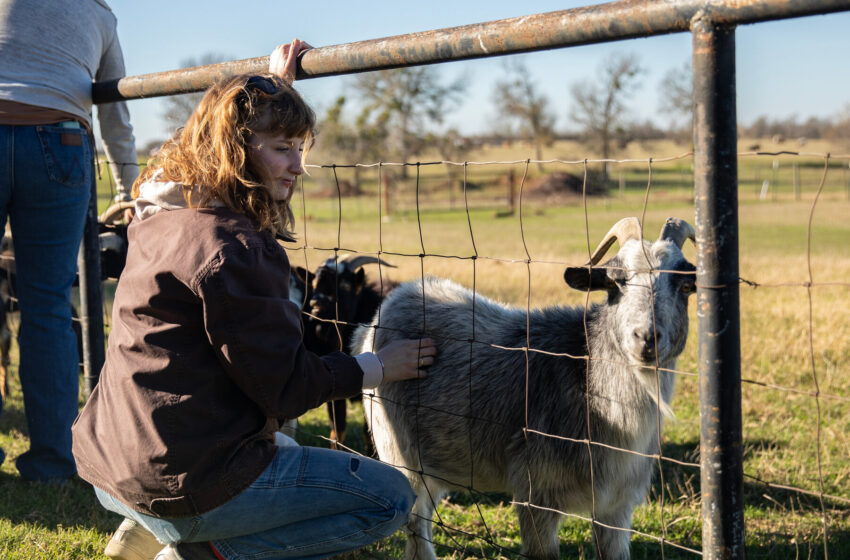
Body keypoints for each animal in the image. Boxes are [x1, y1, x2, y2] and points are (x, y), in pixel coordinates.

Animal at [352, 218, 696, 560]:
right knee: (417, 526)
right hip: (398, 452)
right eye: (616, 281)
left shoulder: (616, 507)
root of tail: (394, 302)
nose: (646, 338)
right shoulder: (536, 494)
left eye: (685, 286)